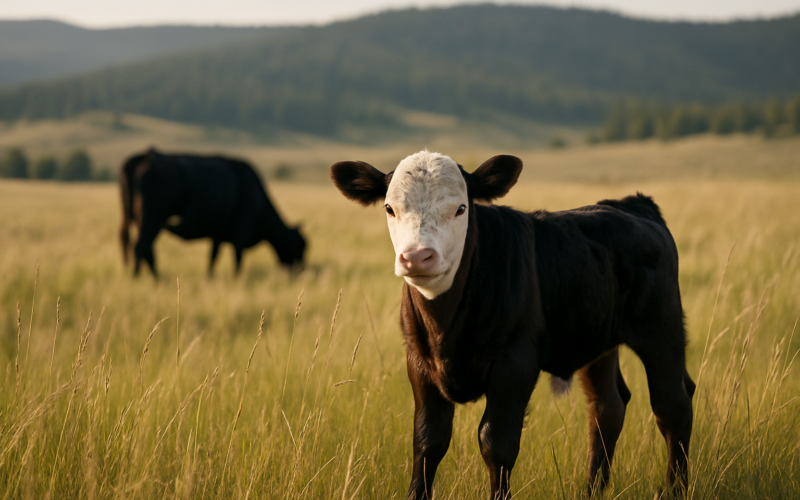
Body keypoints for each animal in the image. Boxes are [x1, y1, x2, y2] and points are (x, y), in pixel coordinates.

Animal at [120, 149, 306, 277]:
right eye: (300, 246)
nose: (300, 272)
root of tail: (144, 157)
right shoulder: (240, 236)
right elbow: (238, 260)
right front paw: (236, 279)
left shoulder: (218, 235)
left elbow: (213, 257)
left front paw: (210, 277)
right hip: (152, 221)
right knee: (142, 247)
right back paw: (154, 278)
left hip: (134, 220)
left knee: (135, 243)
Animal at [330, 151, 695, 500]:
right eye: (389, 208)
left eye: (461, 208)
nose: (418, 257)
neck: (445, 330)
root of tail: (634, 204)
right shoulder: (419, 363)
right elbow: (428, 441)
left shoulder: (515, 364)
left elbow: (496, 443)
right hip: (597, 341)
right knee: (608, 408)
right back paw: (592, 491)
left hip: (662, 330)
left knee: (672, 404)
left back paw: (675, 489)